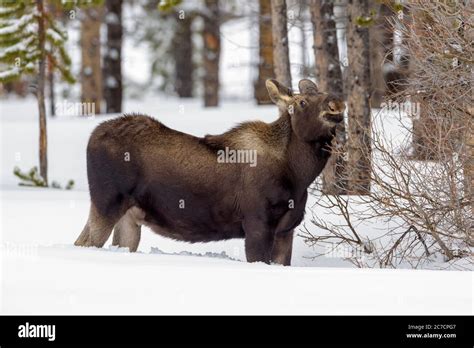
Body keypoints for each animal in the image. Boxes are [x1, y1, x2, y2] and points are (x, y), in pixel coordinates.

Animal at [76, 79, 346, 266]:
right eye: (302, 102)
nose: (336, 103)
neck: (298, 176)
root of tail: (91, 137)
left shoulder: (286, 229)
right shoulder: (258, 224)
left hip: (130, 216)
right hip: (106, 203)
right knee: (84, 242)